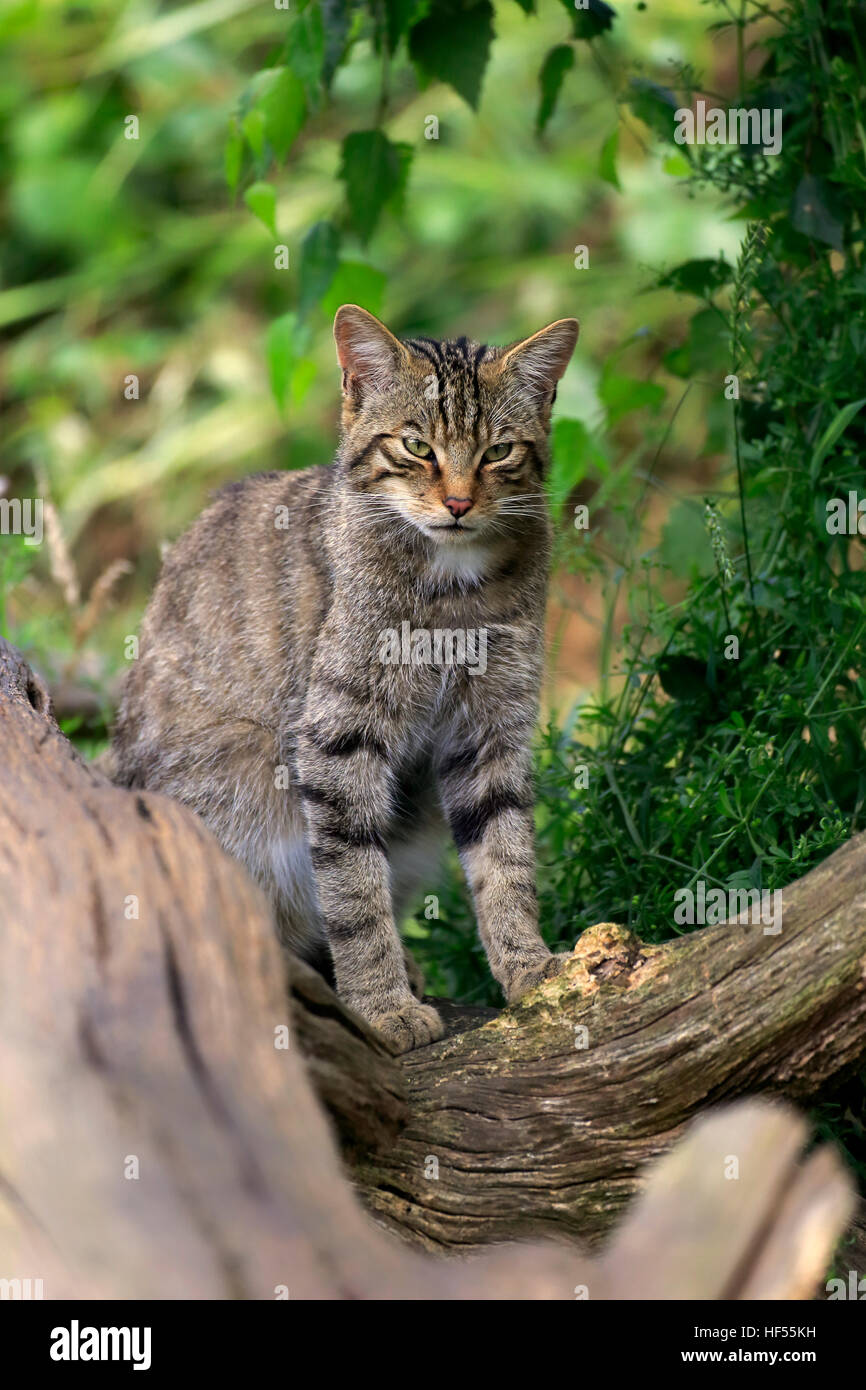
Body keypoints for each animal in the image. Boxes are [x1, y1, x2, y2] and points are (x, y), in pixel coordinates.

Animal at [109, 301, 583, 1045]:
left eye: (498, 452)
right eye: (417, 447)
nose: (457, 504)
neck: (455, 589)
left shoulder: (491, 729)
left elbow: (506, 859)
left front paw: (528, 965)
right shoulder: (338, 734)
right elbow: (354, 888)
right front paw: (380, 1003)